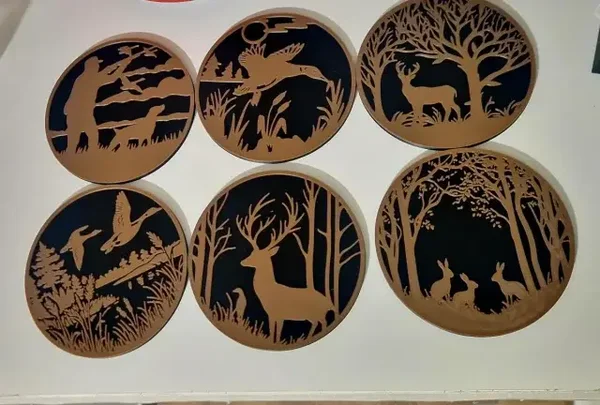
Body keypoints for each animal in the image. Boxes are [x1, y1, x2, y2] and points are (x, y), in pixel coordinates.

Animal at [236, 193, 335, 343]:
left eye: (258, 255)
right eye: (252, 252)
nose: (242, 261)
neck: (269, 292)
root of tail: (329, 304)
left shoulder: (278, 314)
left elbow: (275, 334)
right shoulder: (273, 314)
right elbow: (274, 333)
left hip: (316, 313)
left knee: (323, 323)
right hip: (312, 316)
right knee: (317, 324)